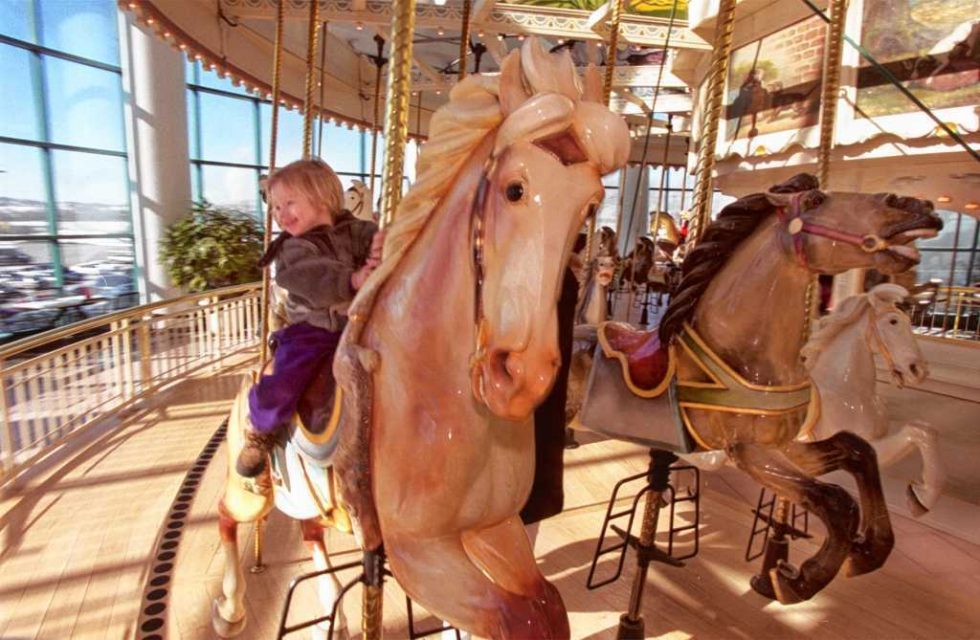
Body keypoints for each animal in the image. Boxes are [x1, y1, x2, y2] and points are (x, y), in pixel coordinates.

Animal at [329, 38, 629, 639]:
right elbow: (511, 616)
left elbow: (545, 605)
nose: (522, 376)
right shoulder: (416, 551)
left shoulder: (496, 525)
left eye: (588, 207)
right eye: (514, 189)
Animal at [682, 283, 944, 515]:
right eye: (893, 322)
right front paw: (923, 497)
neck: (847, 388)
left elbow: (923, 428)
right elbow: (919, 431)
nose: (919, 370)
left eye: (910, 322)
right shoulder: (864, 444)